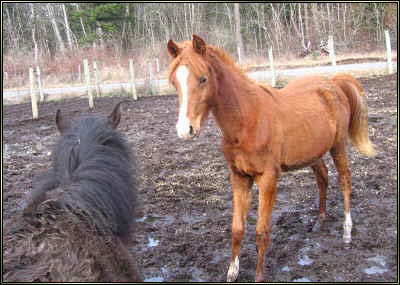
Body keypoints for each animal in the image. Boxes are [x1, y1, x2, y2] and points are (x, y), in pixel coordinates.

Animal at [166, 35, 376, 280]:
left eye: (203, 79)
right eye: (174, 82)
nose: (185, 130)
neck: (248, 120)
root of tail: (333, 82)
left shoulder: (267, 178)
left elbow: (261, 231)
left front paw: (259, 276)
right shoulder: (239, 177)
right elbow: (237, 228)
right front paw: (232, 273)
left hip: (338, 145)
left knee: (345, 181)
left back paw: (347, 232)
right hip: (313, 152)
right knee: (323, 177)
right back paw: (320, 220)